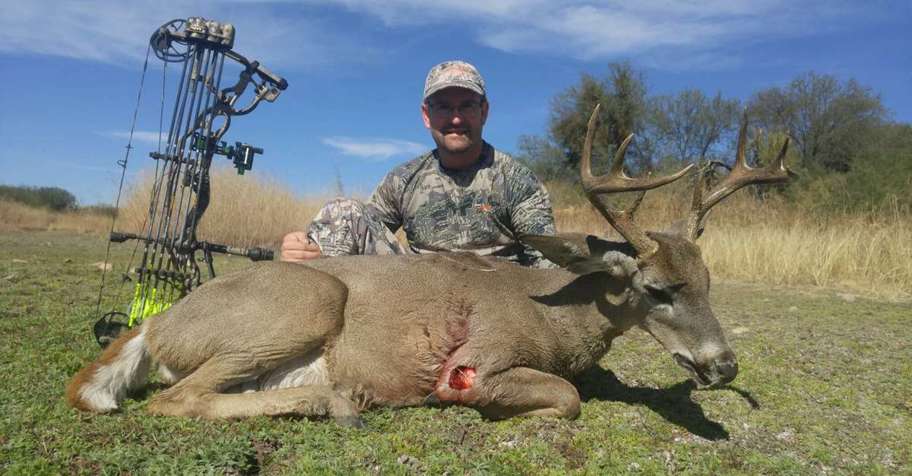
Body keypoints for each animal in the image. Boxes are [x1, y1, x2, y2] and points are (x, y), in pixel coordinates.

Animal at [67, 106, 790, 426]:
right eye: (658, 288)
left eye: (709, 284)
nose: (725, 366)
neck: (560, 319)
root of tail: (155, 324)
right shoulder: (487, 354)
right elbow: (567, 398)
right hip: (308, 301)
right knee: (174, 399)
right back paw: (340, 399)